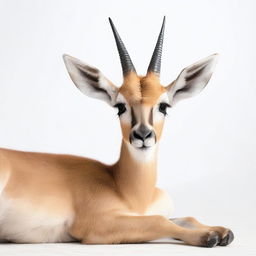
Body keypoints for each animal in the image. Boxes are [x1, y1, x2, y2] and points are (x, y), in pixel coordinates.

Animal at [0, 17, 234, 246]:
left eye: (164, 106)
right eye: (120, 106)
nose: (142, 135)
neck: (131, 192)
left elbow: (186, 217)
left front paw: (222, 231)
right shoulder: (97, 225)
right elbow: (159, 221)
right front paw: (209, 236)